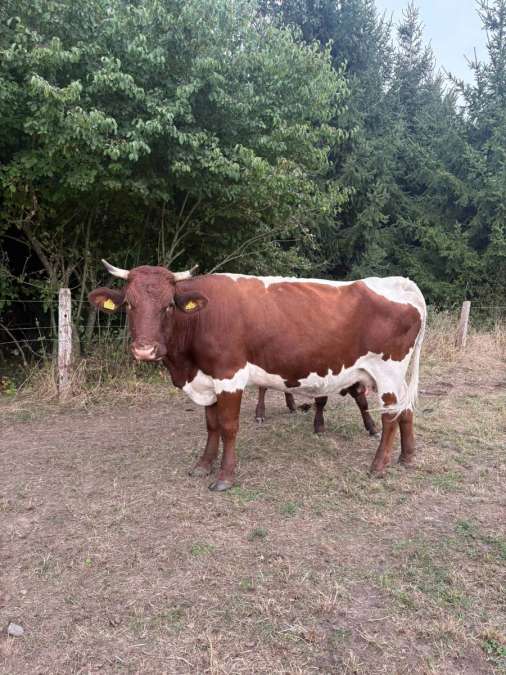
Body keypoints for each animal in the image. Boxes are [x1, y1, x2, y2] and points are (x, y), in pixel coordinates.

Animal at [89, 261, 426, 492]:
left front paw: (224, 477)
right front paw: (203, 465)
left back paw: (378, 466)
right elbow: (211, 425)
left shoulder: (229, 375)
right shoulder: (207, 379)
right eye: (129, 304)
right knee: (407, 410)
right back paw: (407, 458)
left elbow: (228, 427)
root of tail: (400, 282)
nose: (145, 350)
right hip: (398, 376)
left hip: (387, 370)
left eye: (169, 305)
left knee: (390, 415)